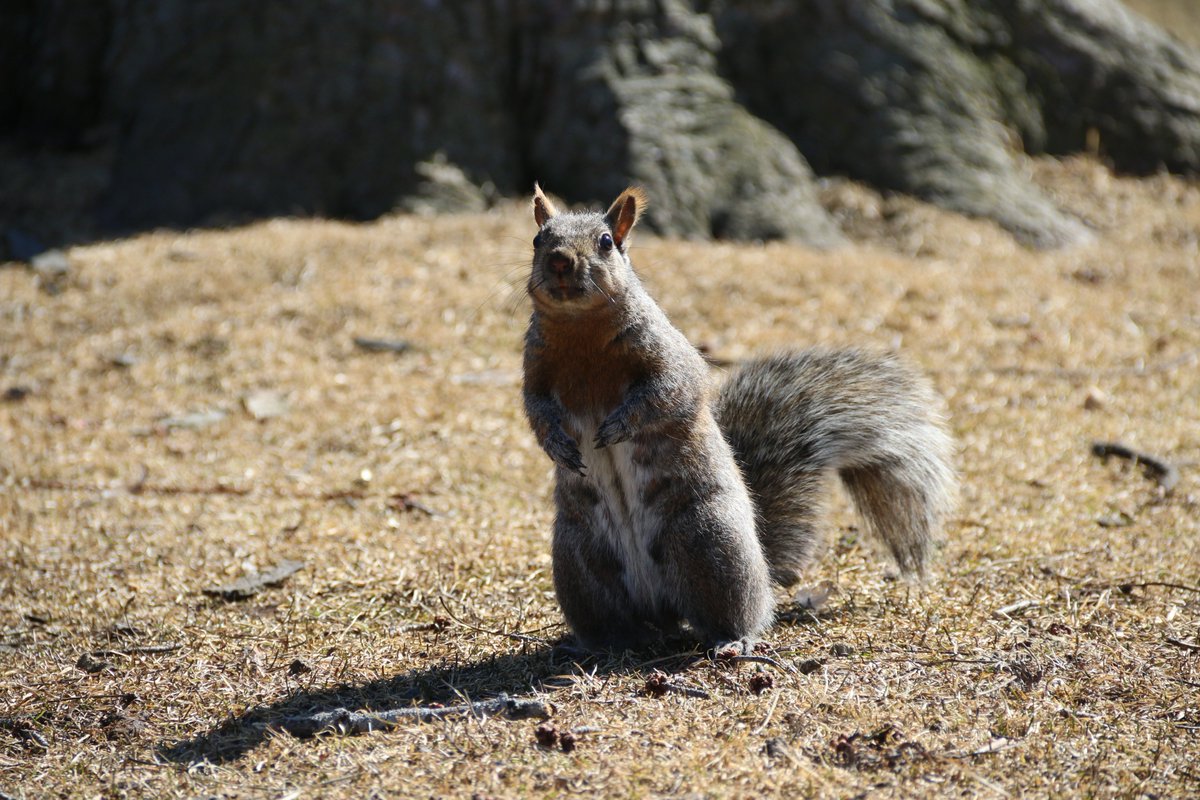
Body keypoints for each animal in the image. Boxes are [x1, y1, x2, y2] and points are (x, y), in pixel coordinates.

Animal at [525, 189, 955, 657]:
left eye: (605, 242)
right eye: (538, 239)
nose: (560, 261)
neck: (579, 330)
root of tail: (661, 607)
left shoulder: (668, 357)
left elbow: (668, 392)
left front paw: (619, 426)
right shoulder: (536, 369)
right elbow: (535, 410)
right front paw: (557, 445)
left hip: (708, 541)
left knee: (735, 609)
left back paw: (732, 639)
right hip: (580, 560)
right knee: (611, 616)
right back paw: (602, 644)